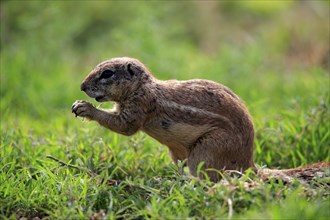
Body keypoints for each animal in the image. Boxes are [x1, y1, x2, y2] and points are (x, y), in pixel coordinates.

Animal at [73, 56, 330, 182]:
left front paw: (85, 108)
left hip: (206, 152)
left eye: (107, 73)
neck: (142, 87)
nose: (82, 86)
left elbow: (124, 127)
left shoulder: (139, 107)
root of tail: (248, 163)